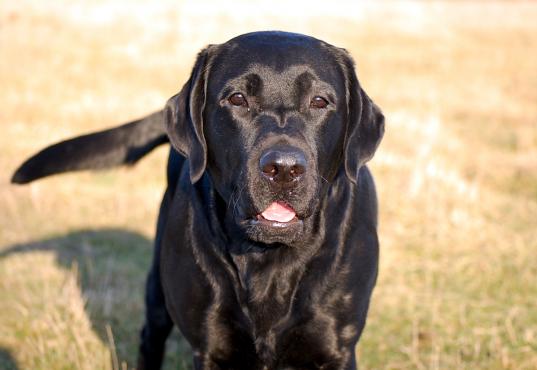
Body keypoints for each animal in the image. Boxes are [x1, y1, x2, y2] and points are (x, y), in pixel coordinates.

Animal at [11, 31, 382, 370]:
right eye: (237, 99)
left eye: (319, 101)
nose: (284, 168)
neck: (267, 261)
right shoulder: (210, 346)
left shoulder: (335, 348)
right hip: (158, 291)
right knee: (150, 337)